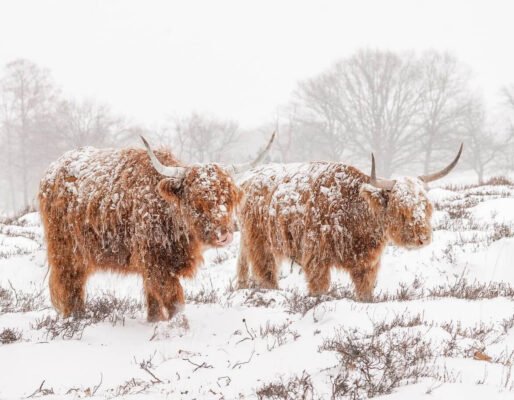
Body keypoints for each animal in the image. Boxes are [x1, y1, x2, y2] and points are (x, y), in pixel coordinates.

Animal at [39, 134, 272, 322]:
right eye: (197, 202)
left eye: (228, 199)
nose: (224, 235)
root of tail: (53, 169)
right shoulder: (156, 261)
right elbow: (172, 297)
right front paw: (179, 326)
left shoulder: (153, 262)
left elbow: (153, 295)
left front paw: (154, 320)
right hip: (66, 250)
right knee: (69, 283)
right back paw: (76, 317)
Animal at [236, 146, 460, 300]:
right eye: (401, 207)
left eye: (426, 206)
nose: (422, 238)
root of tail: (248, 177)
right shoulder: (316, 258)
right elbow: (319, 287)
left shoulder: (367, 265)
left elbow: (365, 292)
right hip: (260, 242)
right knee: (266, 272)